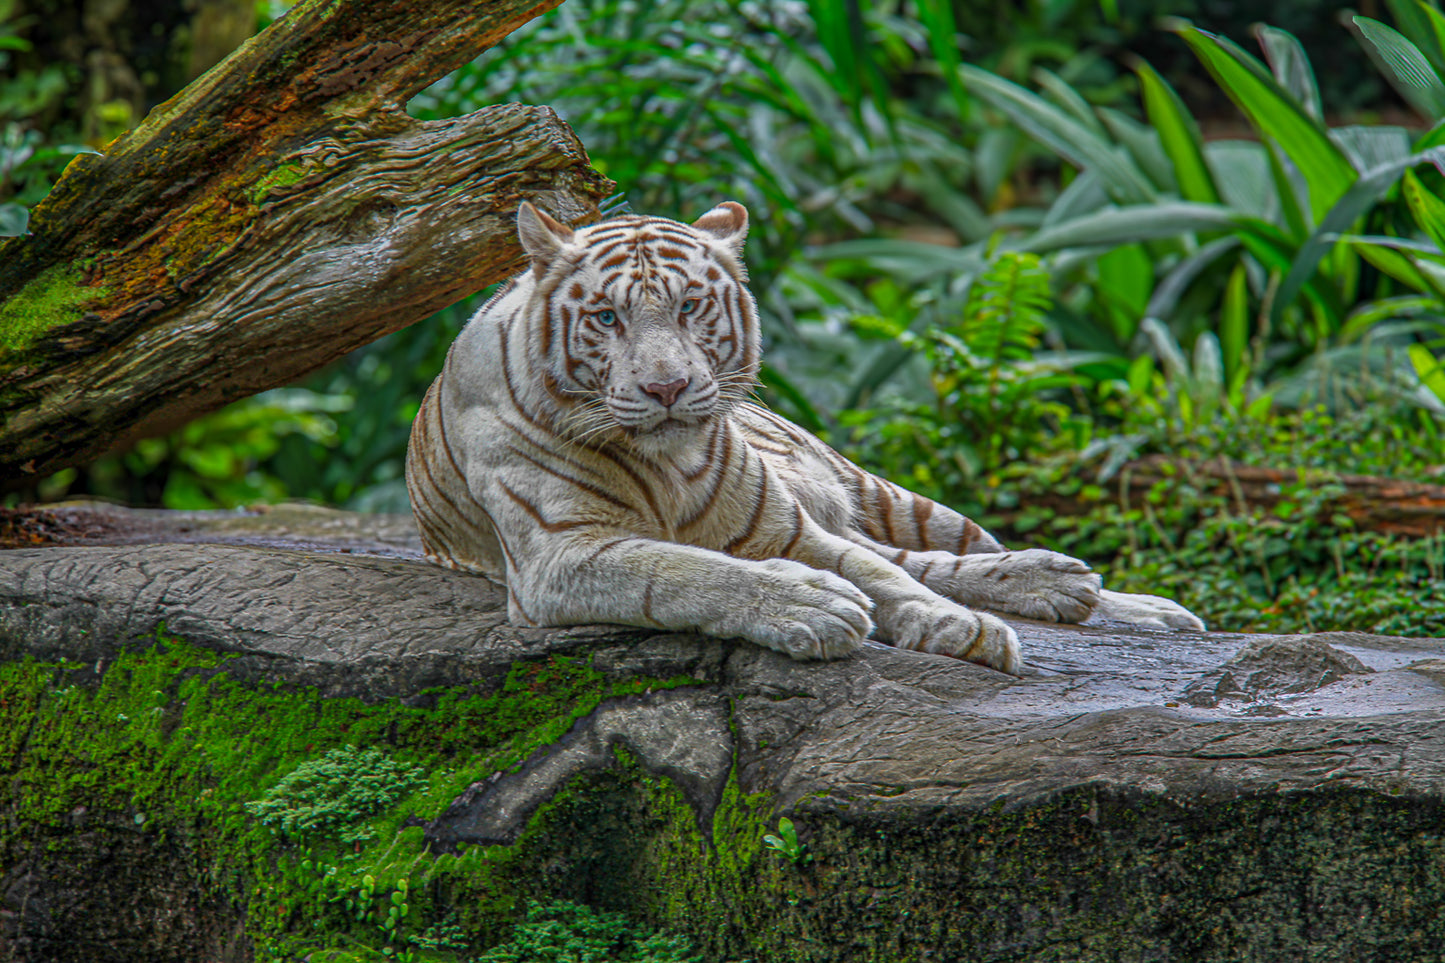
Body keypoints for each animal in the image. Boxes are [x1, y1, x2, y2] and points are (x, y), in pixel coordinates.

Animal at [404, 200, 1204, 675]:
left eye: (689, 306)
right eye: (607, 317)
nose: (666, 387)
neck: (667, 463)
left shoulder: (783, 527)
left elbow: (884, 576)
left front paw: (959, 628)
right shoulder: (562, 554)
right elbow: (684, 570)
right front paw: (811, 606)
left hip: (886, 495)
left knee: (933, 551)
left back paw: (1117, 599)